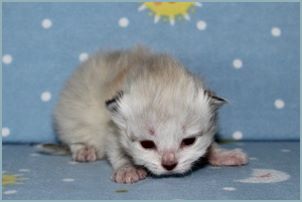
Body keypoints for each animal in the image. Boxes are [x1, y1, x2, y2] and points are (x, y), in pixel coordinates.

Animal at [37, 46, 248, 184]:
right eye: (147, 144)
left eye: (188, 141)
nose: (169, 165)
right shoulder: (112, 132)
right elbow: (118, 154)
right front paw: (128, 169)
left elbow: (211, 145)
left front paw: (222, 154)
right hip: (72, 114)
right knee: (73, 136)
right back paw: (84, 149)